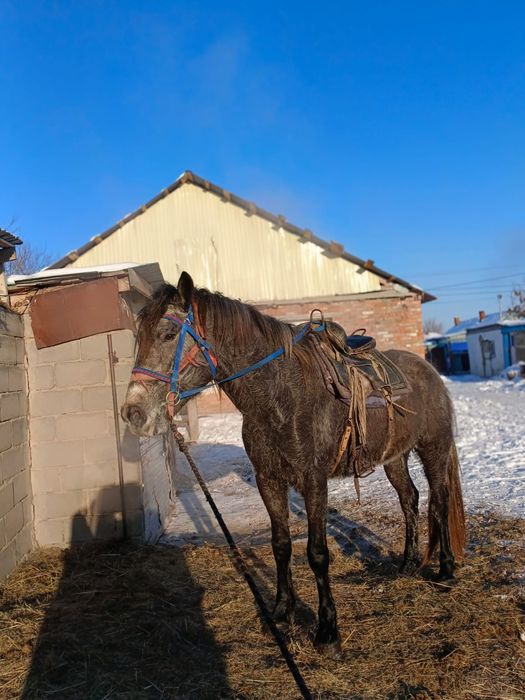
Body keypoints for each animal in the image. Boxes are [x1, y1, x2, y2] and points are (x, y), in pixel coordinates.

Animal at [121, 271, 465, 658]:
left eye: (168, 335)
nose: (133, 413)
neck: (279, 396)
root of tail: (429, 371)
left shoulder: (313, 480)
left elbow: (317, 553)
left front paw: (327, 632)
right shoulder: (268, 480)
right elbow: (280, 545)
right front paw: (281, 610)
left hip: (434, 449)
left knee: (439, 501)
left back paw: (446, 570)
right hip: (394, 458)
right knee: (410, 500)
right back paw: (406, 564)